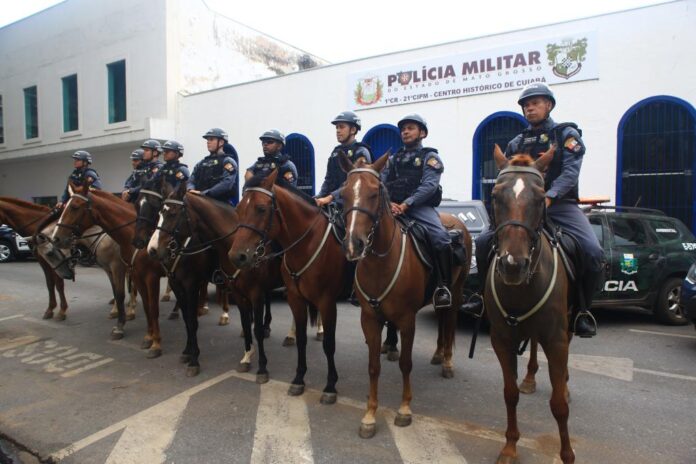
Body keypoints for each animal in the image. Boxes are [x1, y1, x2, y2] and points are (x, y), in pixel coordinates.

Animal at [51, 184, 167, 358]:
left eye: (75, 207)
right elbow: (120, 294)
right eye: (63, 207)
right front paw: (121, 320)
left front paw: (123, 327)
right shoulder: (121, 271)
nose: (56, 238)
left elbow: (131, 298)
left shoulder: (130, 271)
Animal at [148, 183, 283, 378]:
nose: (151, 249)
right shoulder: (178, 285)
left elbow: (192, 321)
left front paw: (194, 360)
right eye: (159, 213)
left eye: (173, 213)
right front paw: (188, 351)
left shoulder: (192, 285)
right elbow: (188, 319)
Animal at [229, 171, 351, 402]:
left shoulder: (327, 302)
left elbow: (329, 344)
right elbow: (301, 339)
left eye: (261, 208)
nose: (236, 256)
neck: (307, 243)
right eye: (238, 209)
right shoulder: (295, 298)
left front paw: (330, 386)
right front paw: (299, 379)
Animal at [336, 153, 470, 438]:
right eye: (343, 193)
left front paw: (404, 409)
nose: (354, 244)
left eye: (375, 193)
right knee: (442, 320)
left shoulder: (408, 320)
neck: (380, 262)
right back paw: (438, 353)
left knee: (450, 320)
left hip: (457, 291)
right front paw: (369, 415)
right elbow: (373, 366)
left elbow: (406, 364)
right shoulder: (369, 319)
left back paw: (447, 362)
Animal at [485, 144, 574, 464]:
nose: (513, 265)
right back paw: (530, 378)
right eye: (495, 195)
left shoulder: (556, 339)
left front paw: (567, 455)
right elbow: (509, 393)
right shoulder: (501, 338)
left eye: (540, 196)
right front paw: (510, 447)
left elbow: (559, 405)